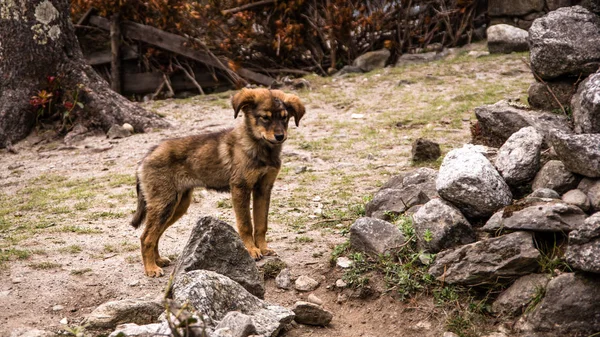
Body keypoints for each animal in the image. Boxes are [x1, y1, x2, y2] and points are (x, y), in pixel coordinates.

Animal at [132, 86, 308, 276]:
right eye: (265, 118)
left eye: (285, 117)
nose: (280, 136)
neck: (260, 148)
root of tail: (146, 157)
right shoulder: (240, 187)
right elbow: (246, 224)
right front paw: (251, 250)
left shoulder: (263, 188)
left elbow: (261, 224)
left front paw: (263, 248)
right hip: (165, 204)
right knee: (146, 237)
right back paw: (151, 268)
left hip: (177, 205)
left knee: (154, 234)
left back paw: (158, 261)